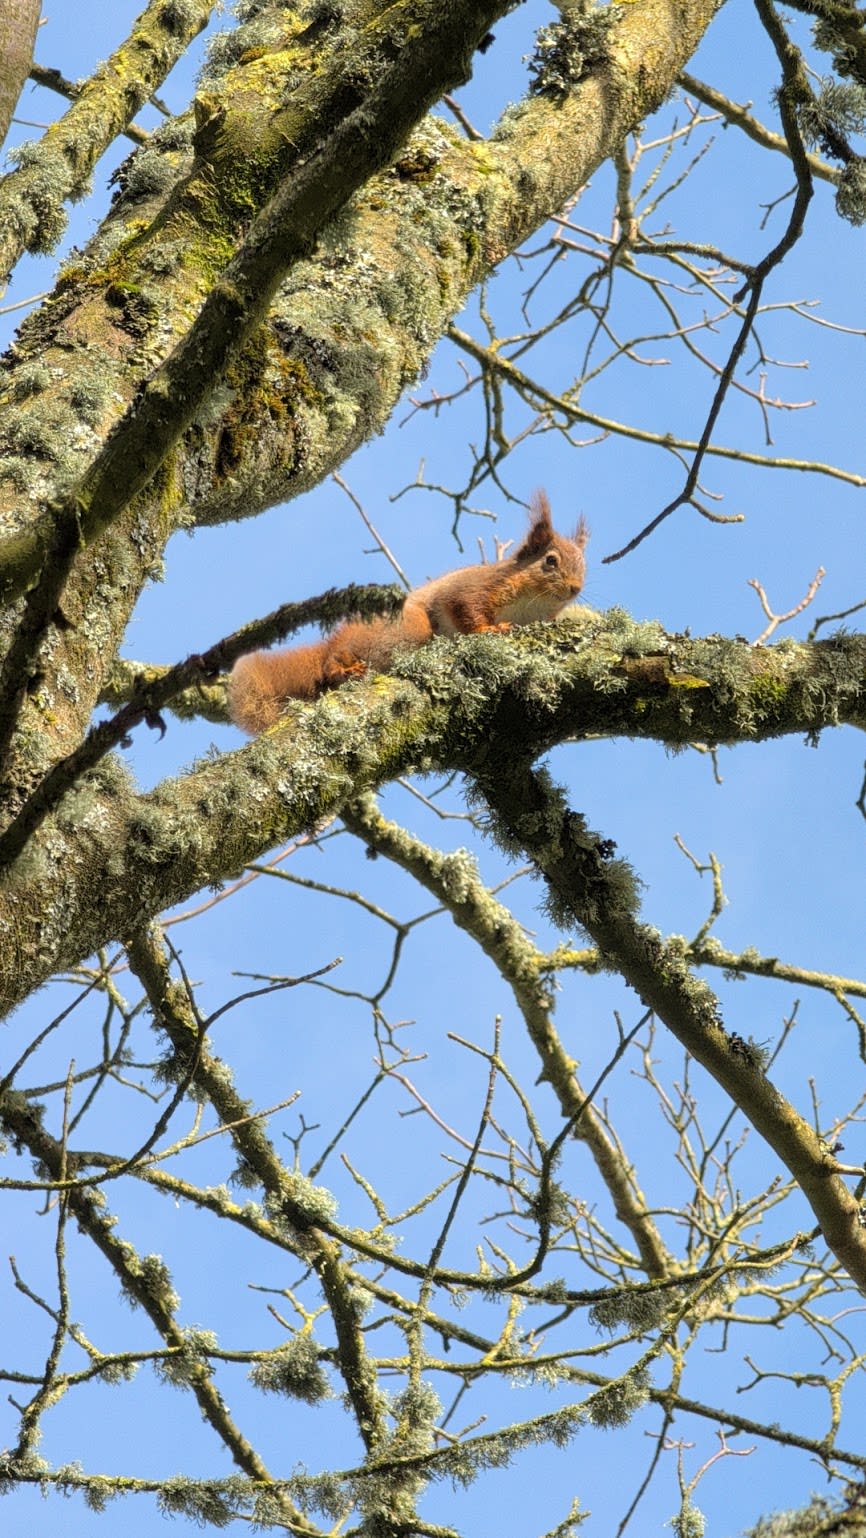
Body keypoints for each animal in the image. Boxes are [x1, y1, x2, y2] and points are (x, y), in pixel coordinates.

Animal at [229, 489, 588, 734]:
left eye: (584, 566)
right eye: (550, 561)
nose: (576, 588)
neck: (530, 604)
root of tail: (332, 643)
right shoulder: (474, 589)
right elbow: (466, 609)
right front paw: (489, 630)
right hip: (410, 628)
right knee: (333, 662)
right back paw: (341, 668)